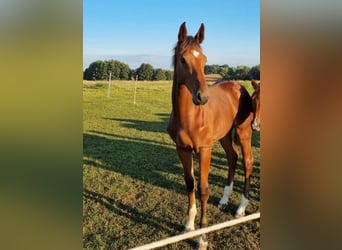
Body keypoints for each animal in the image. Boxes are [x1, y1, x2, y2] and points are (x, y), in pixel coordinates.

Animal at [167, 22, 255, 248]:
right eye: (183, 59)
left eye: (204, 60)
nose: (202, 97)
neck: (189, 117)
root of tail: (238, 86)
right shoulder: (182, 150)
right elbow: (190, 184)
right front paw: (189, 226)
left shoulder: (204, 150)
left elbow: (204, 189)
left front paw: (202, 237)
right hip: (224, 136)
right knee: (233, 157)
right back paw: (224, 200)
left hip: (243, 132)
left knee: (247, 162)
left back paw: (240, 209)